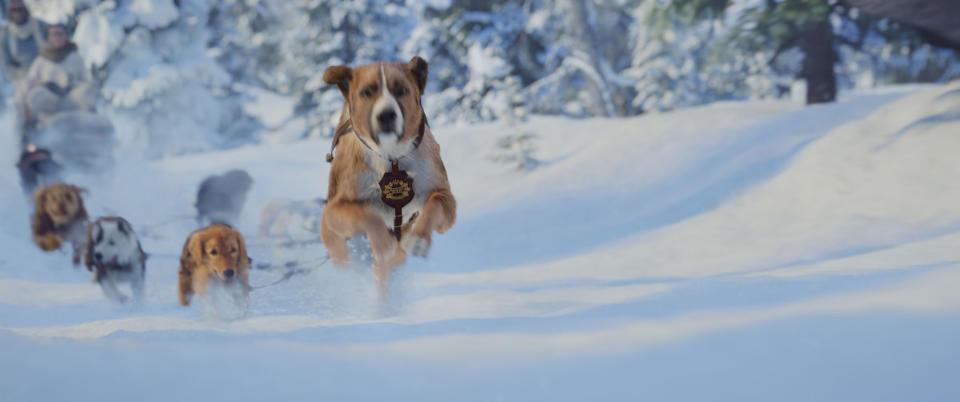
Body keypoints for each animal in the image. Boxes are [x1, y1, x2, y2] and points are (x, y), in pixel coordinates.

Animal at [322, 55, 458, 298]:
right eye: (367, 92)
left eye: (401, 90)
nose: (386, 115)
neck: (391, 157)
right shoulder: (335, 210)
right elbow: (367, 215)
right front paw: (383, 244)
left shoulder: (445, 198)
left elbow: (434, 204)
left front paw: (419, 240)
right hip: (333, 236)